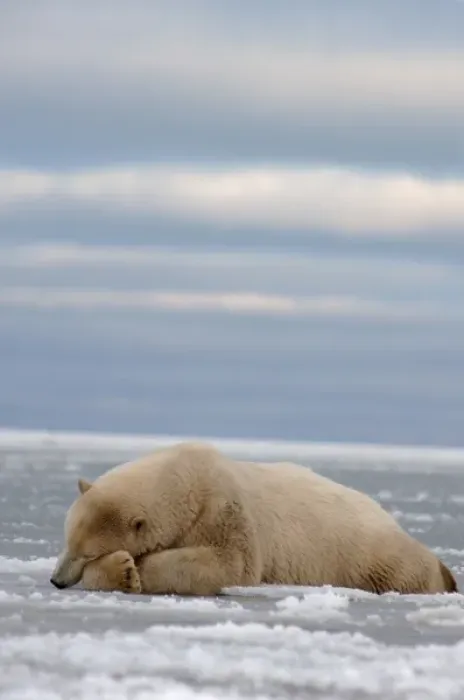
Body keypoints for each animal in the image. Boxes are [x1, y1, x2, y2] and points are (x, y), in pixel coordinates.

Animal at [50, 441, 458, 596]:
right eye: (66, 541)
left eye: (86, 552)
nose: (56, 579)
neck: (184, 473)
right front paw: (123, 570)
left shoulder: (222, 508)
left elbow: (230, 563)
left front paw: (131, 570)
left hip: (368, 552)